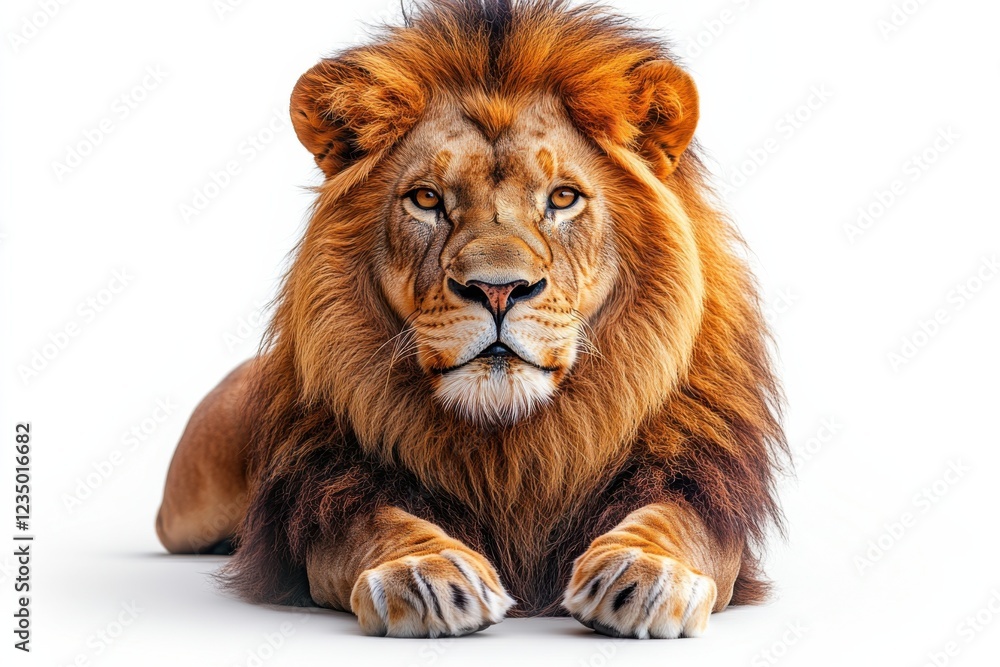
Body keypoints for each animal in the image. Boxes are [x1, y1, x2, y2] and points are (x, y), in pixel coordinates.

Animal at [156, 0, 786, 639]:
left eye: (562, 198)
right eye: (427, 199)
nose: (498, 289)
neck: (509, 441)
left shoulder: (705, 492)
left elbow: (677, 522)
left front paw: (645, 570)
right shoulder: (329, 498)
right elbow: (376, 525)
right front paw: (425, 573)